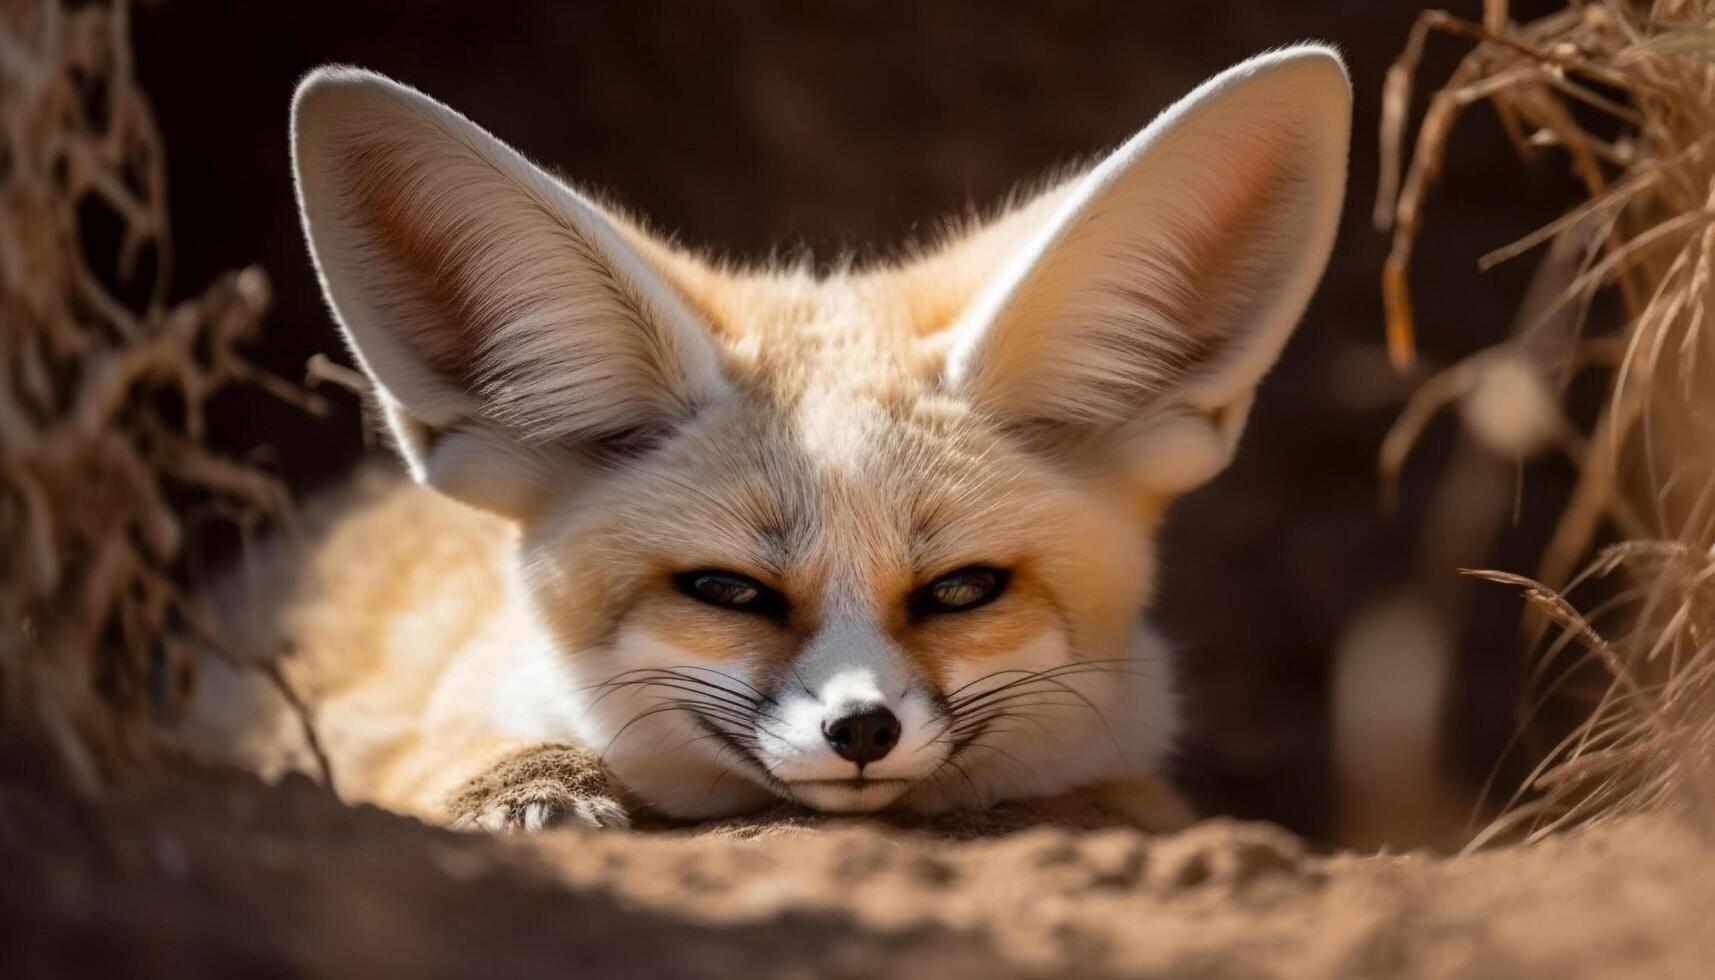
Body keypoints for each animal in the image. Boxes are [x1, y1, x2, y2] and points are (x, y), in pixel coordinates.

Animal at [187, 45, 1351, 827]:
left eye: (962, 590)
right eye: (728, 590)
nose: (862, 730)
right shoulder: (362, 723)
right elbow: (416, 763)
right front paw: (531, 783)